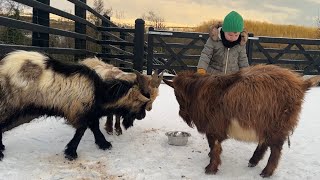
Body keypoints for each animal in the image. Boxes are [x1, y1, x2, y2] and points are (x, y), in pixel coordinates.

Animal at [164, 64, 320, 177]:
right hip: (265, 124)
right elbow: (212, 146)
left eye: (177, 95)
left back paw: (266, 172)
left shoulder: (214, 127)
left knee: (275, 149)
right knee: (265, 142)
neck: (199, 92)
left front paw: (210, 168)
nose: (181, 114)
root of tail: (300, 84)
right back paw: (253, 161)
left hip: (277, 125)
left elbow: (214, 147)